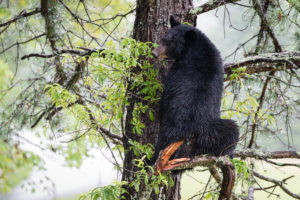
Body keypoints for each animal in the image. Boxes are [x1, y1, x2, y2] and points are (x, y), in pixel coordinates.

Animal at [151, 16, 240, 171]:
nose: (154, 53)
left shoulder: (176, 72)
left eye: (170, 43)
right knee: (231, 133)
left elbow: (165, 96)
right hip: (214, 130)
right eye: (163, 39)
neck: (193, 49)